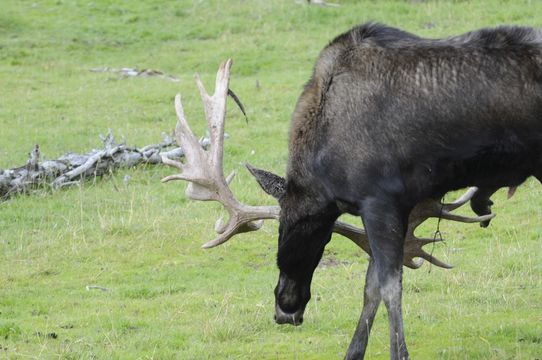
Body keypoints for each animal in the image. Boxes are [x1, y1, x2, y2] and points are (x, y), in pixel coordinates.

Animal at [163, 23, 542, 358]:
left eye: (291, 231)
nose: (284, 309)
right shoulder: (397, 206)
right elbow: (370, 287)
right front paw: (353, 352)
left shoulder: (379, 201)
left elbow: (389, 288)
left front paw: (398, 353)